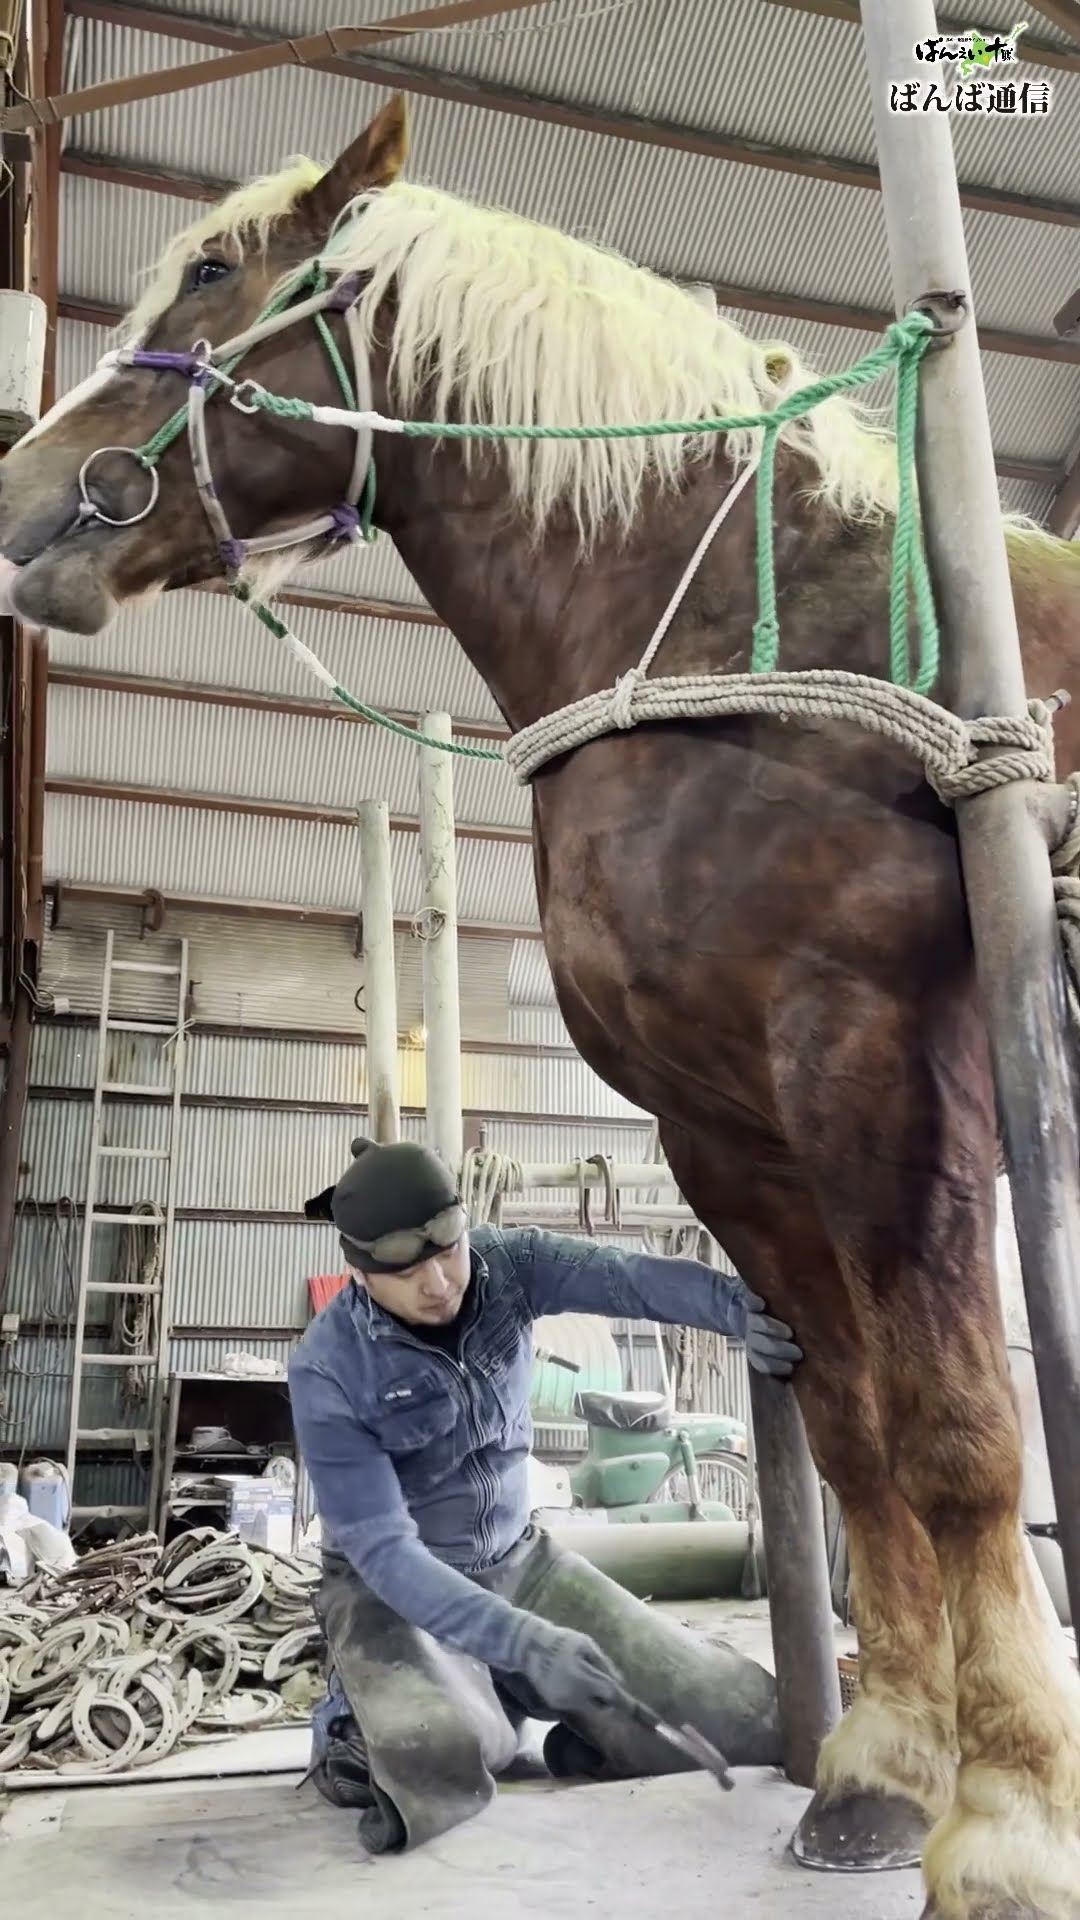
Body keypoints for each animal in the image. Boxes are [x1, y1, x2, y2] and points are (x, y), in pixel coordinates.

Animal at [2, 95, 1079, 1920]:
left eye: (215, 272)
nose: (22, 498)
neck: (727, 659)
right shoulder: (733, 1138)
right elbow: (850, 1435)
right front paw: (880, 1766)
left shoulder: (886, 1083)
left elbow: (954, 1437)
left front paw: (1006, 1817)